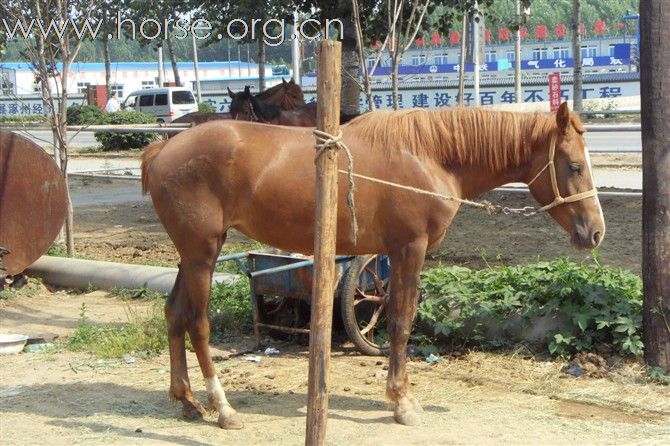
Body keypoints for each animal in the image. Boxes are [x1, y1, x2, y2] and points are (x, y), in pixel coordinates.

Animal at [140, 102, 604, 428]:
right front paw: (401, 402)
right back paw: (223, 408)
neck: (430, 155)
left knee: (174, 314)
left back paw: (187, 401)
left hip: (191, 257)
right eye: (574, 166)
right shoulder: (409, 250)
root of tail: (165, 148)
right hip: (202, 256)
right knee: (197, 323)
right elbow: (400, 320)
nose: (596, 232)